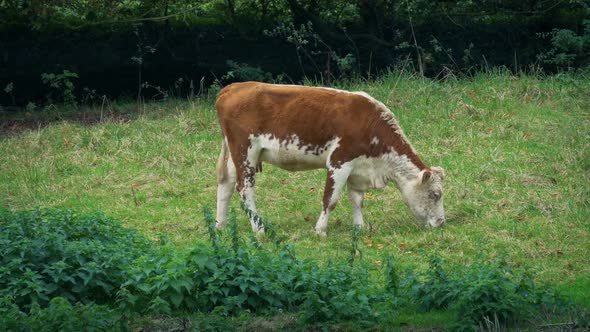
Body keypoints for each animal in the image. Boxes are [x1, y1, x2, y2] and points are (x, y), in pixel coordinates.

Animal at [215, 81, 446, 235]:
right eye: (435, 194)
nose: (441, 223)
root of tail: (232, 88)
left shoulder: (358, 168)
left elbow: (357, 199)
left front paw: (359, 228)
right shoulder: (339, 161)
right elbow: (331, 199)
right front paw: (320, 230)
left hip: (235, 153)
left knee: (226, 184)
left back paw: (220, 224)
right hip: (245, 151)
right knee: (245, 189)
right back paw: (259, 228)